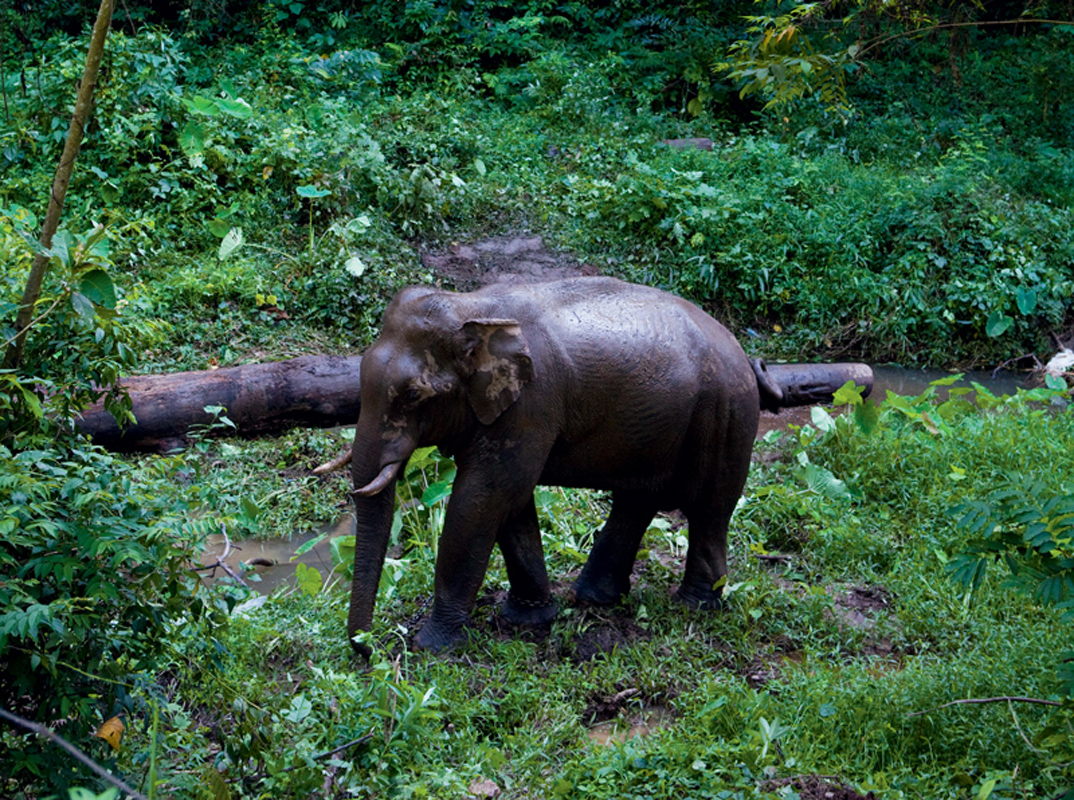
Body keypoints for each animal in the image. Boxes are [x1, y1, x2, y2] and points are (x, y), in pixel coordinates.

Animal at [350, 274, 773, 657]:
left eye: (412, 395)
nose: (367, 649)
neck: (471, 306)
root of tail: (740, 348)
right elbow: (511, 502)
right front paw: (527, 621)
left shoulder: (531, 405)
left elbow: (483, 498)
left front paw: (432, 648)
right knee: (637, 500)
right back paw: (594, 599)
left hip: (725, 413)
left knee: (708, 510)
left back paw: (694, 607)